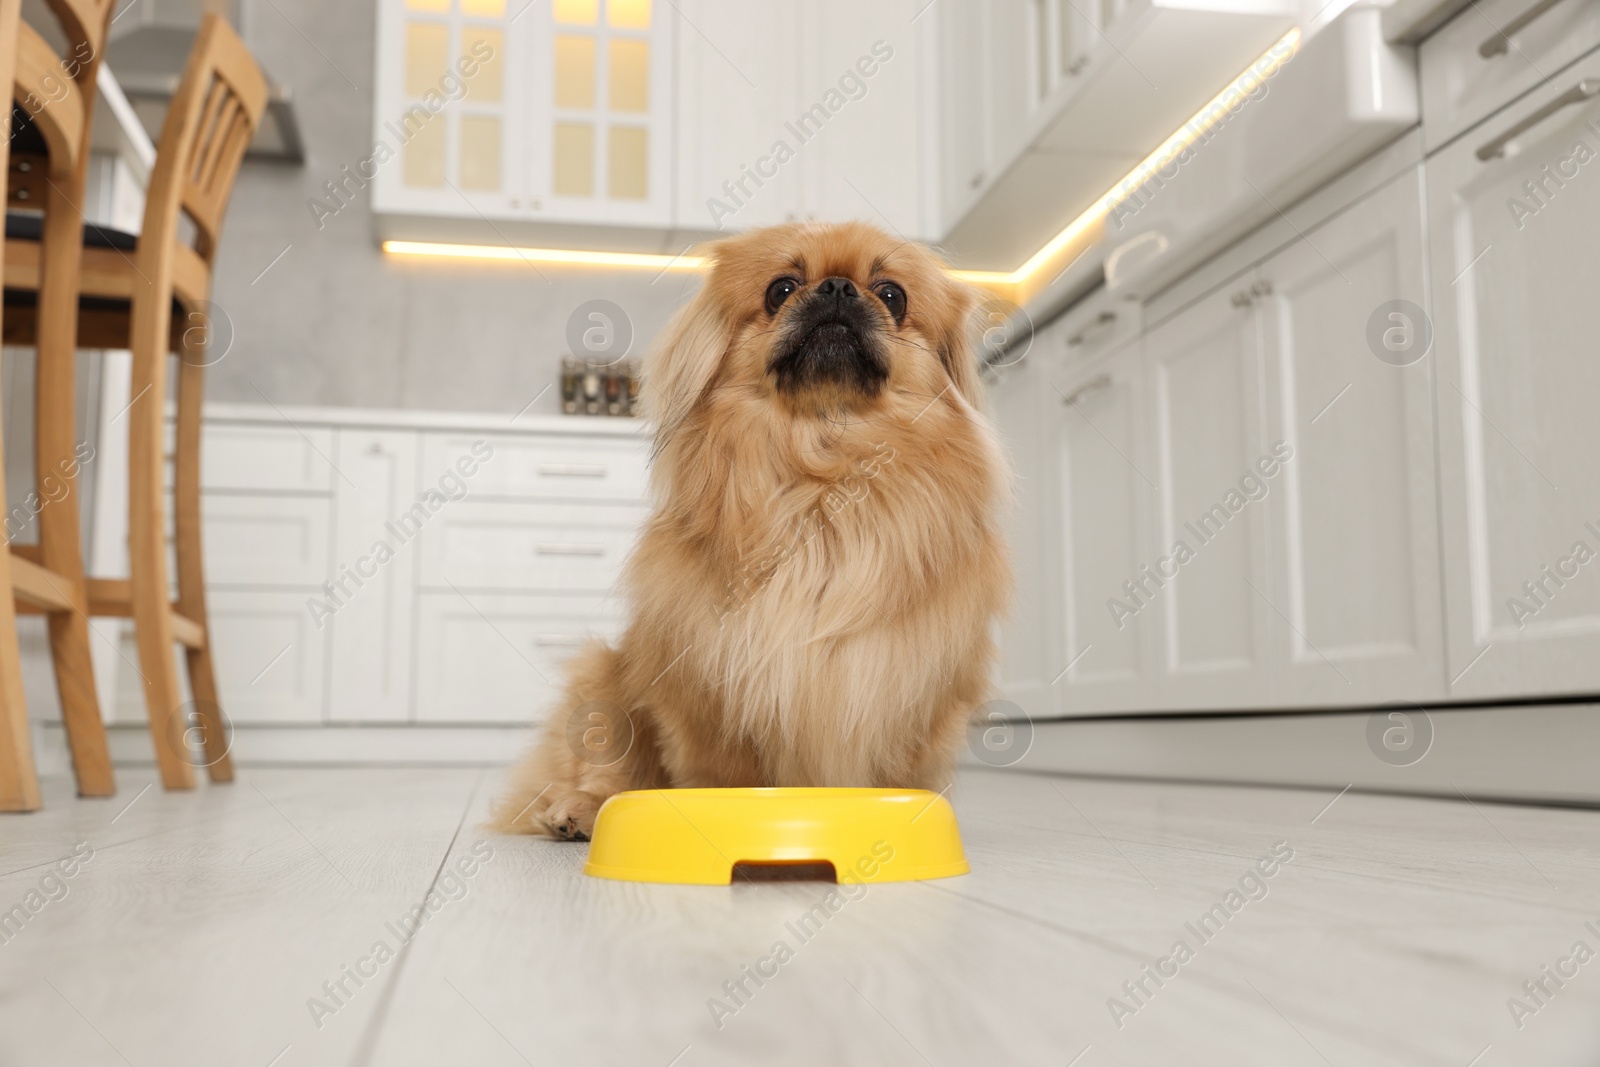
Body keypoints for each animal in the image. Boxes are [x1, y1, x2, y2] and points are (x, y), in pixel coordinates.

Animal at [492, 223, 1004, 844]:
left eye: (892, 295)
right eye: (780, 289)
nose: (838, 288)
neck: (821, 475)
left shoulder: (915, 687)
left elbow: (900, 771)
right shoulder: (710, 690)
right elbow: (721, 773)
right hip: (604, 676)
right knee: (603, 770)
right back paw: (579, 812)